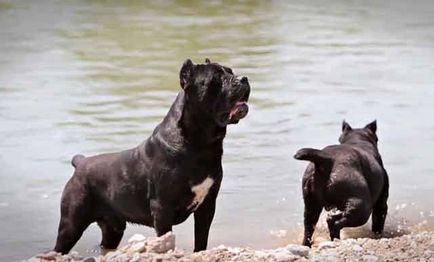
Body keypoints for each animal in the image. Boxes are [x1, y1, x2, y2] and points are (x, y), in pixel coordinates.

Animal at [54, 58, 251, 254]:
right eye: (216, 79)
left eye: (231, 72)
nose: (244, 79)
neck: (201, 144)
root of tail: (81, 162)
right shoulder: (162, 208)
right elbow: (166, 237)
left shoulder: (207, 205)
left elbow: (201, 238)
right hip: (71, 225)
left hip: (113, 228)